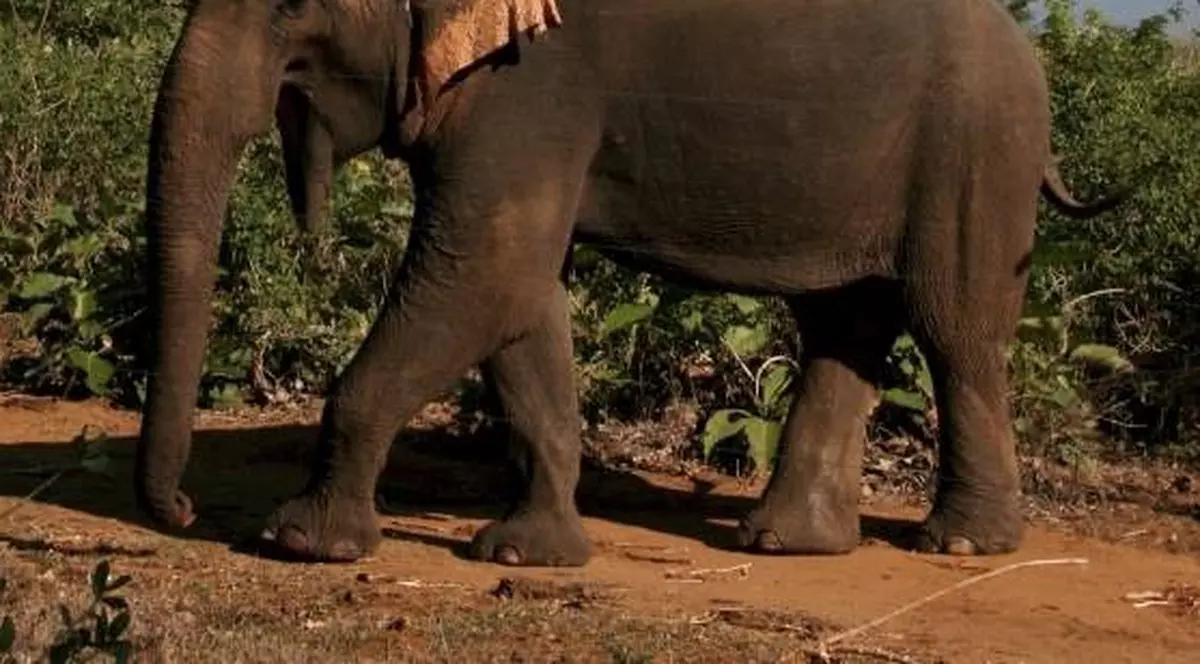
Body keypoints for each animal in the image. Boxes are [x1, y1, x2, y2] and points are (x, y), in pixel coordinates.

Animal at [135, 0, 1126, 566]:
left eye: (290, 5)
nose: (182, 511)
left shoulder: (534, 84)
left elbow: (483, 273)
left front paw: (300, 542)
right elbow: (521, 292)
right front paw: (528, 556)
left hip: (978, 146)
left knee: (953, 331)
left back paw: (960, 542)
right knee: (844, 324)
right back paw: (790, 543)